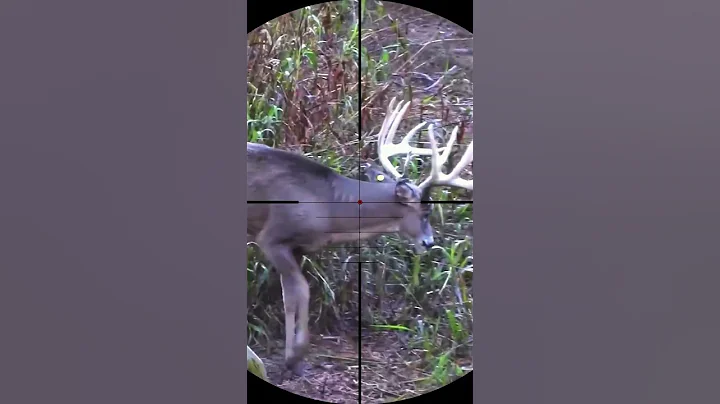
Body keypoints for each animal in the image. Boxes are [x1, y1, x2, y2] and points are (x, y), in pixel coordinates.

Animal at [246, 97, 473, 377]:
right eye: (425, 211)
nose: (429, 243)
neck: (329, 208)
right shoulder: (272, 237)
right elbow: (298, 292)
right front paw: (294, 357)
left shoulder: (299, 248)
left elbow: (294, 293)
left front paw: (295, 357)